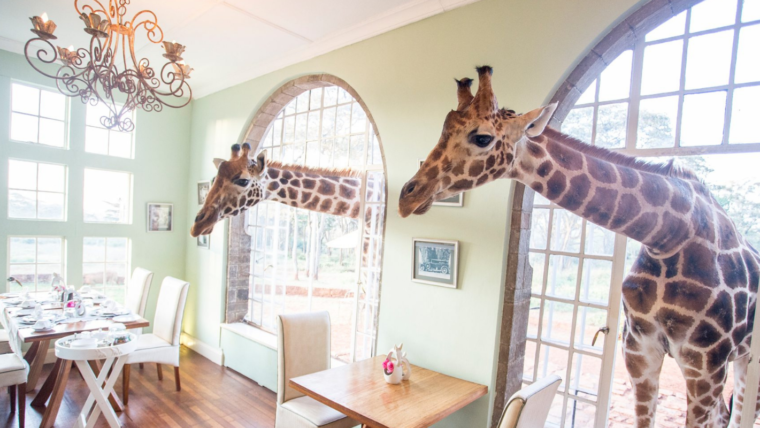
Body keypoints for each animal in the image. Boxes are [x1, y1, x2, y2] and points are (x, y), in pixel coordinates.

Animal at [398, 66, 760, 428]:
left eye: (482, 137)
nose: (407, 197)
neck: (670, 235)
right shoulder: (639, 354)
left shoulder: (706, 365)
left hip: (741, 362)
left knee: (737, 409)